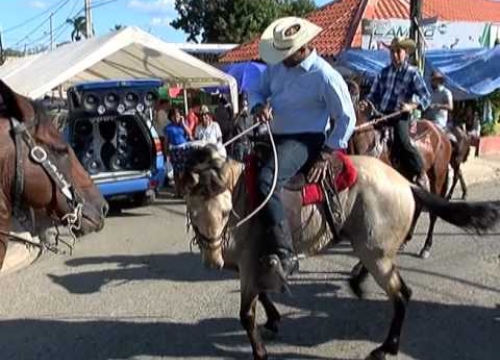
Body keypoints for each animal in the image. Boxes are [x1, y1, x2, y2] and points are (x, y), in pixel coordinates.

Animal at [182, 143, 500, 360]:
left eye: (225, 212)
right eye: (194, 213)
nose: (213, 261)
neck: (245, 200)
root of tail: (406, 182)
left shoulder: (248, 264)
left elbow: (246, 314)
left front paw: (260, 351)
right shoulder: (247, 264)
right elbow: (262, 295)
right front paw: (273, 320)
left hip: (377, 255)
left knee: (401, 295)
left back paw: (385, 347)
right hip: (371, 247)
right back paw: (359, 284)